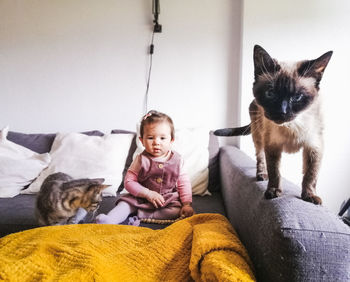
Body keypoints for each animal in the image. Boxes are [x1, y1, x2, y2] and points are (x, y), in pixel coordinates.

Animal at [215, 45, 332, 205]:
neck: (291, 127)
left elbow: (310, 175)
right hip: (258, 137)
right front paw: (273, 192)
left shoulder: (314, 147)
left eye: (297, 97)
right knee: (260, 157)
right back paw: (261, 175)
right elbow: (275, 172)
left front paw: (309, 196)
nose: (282, 112)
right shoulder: (272, 145)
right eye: (270, 94)